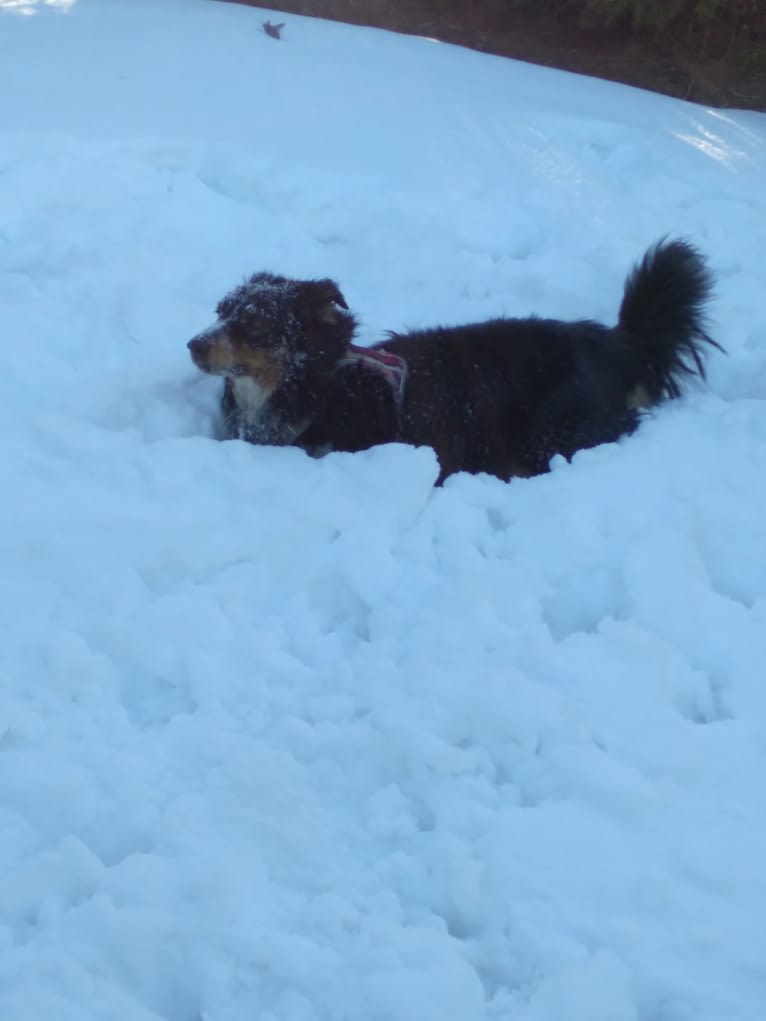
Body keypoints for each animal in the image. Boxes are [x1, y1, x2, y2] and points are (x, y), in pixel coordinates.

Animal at [188, 238, 723, 481]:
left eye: (254, 323)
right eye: (220, 311)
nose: (193, 344)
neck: (318, 387)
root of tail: (611, 341)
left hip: (546, 434)